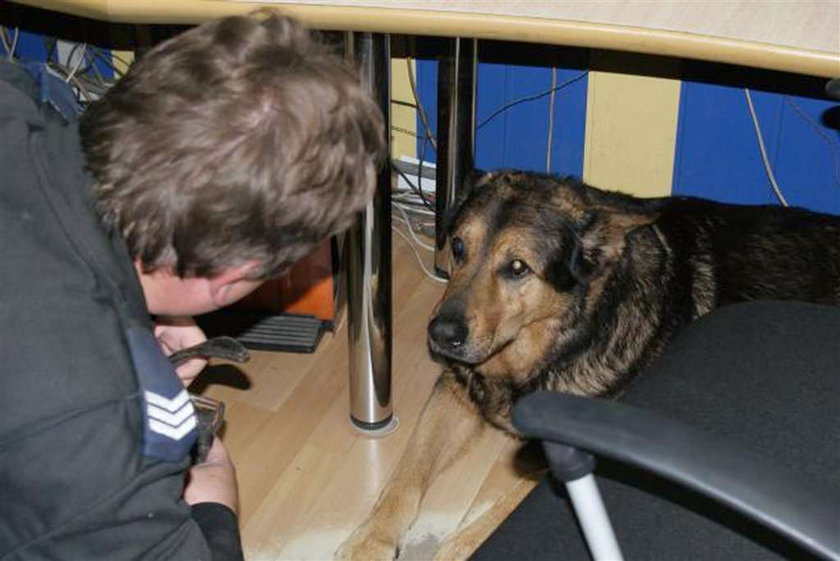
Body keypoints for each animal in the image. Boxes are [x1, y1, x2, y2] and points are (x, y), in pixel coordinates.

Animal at [336, 171, 840, 560]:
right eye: (458, 248)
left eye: (517, 267)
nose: (440, 335)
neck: (559, 342)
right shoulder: (455, 395)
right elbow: (404, 478)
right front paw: (370, 539)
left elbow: (492, 516)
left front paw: (456, 547)